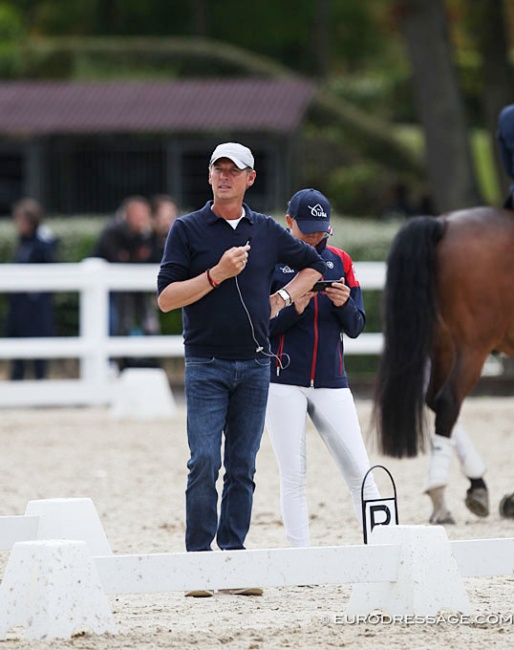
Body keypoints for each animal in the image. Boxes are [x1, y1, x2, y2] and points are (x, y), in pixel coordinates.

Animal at [372, 206, 512, 520]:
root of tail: (444, 223)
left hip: (443, 345)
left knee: (435, 401)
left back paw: (472, 486)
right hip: (473, 347)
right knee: (448, 402)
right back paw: (442, 491)